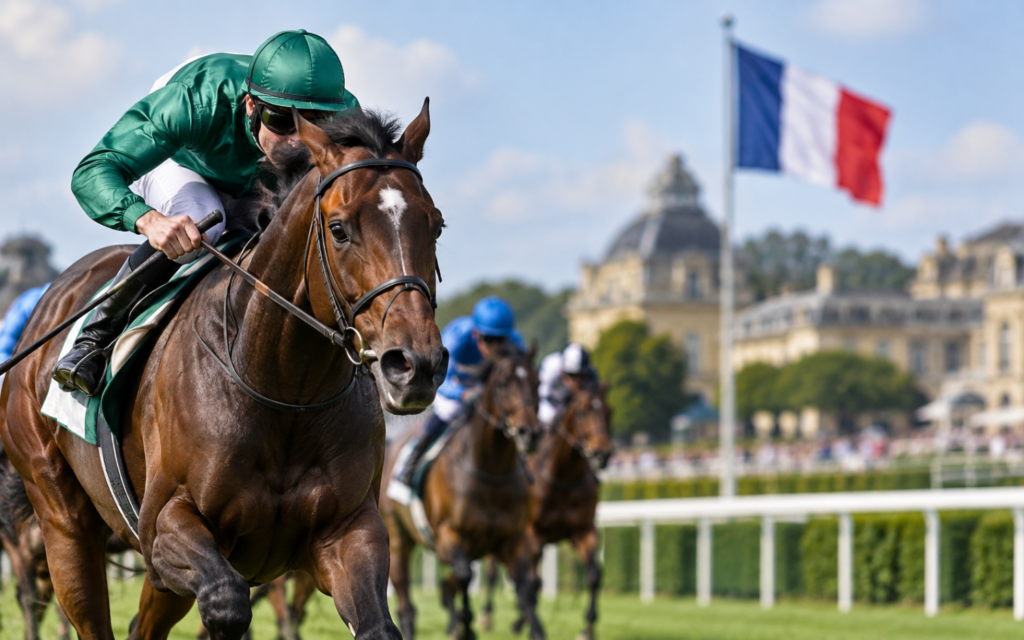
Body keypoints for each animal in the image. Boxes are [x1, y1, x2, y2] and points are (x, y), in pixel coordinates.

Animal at [0, 101, 446, 640]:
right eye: (339, 229)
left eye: (436, 225)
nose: (416, 365)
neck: (285, 389)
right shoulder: (163, 529)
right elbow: (226, 603)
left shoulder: (348, 528)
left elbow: (377, 624)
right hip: (62, 519)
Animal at [381, 344, 543, 640]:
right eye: (503, 384)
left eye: (537, 383)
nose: (531, 434)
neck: (491, 472)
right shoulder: (449, 533)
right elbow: (465, 575)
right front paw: (467, 626)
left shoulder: (512, 539)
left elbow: (525, 587)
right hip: (398, 539)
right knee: (406, 601)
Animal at [480, 377, 611, 640]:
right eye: (583, 412)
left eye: (608, 412)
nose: (602, 454)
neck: (562, 477)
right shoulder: (532, 534)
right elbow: (531, 581)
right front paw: (524, 623)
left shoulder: (584, 530)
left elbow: (593, 575)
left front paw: (587, 628)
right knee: (494, 572)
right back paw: (488, 615)